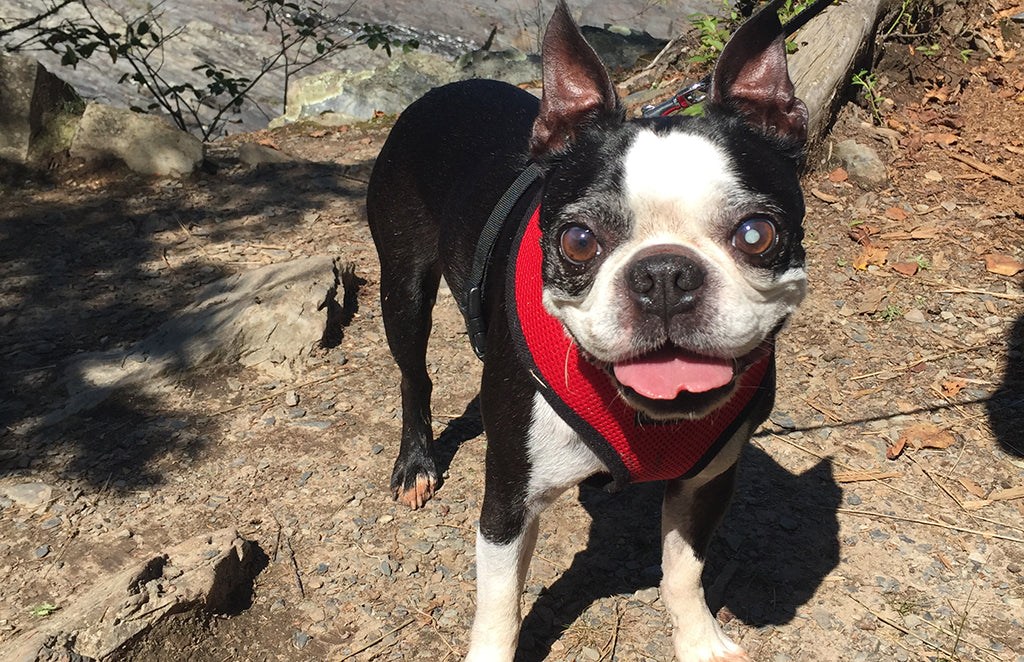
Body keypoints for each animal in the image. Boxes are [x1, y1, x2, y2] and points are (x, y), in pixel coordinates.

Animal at [366, 1, 806, 659]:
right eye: (578, 241)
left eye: (757, 234)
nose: (665, 275)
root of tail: (441, 91)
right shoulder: (508, 501)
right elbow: (499, 606)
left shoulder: (706, 481)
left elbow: (684, 570)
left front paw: (699, 640)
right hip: (404, 287)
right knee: (413, 374)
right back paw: (416, 462)